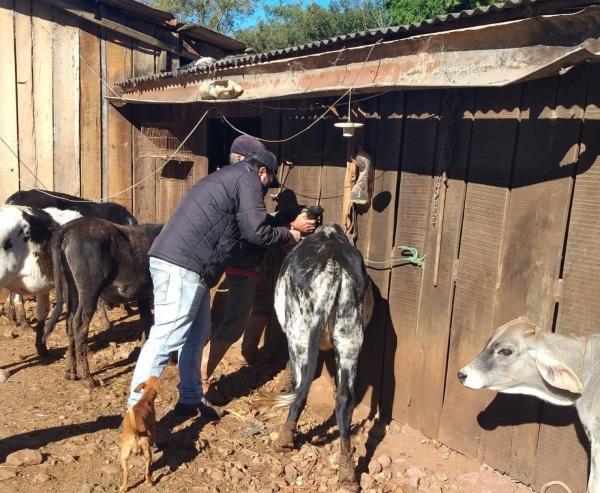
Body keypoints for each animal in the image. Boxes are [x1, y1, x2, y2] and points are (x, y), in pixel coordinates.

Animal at [41, 217, 164, 382]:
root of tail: (69, 226)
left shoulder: (144, 293)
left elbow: (146, 320)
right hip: (89, 291)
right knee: (79, 325)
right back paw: (88, 379)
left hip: (71, 291)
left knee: (69, 323)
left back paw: (71, 372)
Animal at [268, 224, 370, 492]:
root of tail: (333, 268)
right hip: (350, 338)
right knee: (344, 398)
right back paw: (347, 473)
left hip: (299, 334)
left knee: (301, 388)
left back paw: (284, 439)